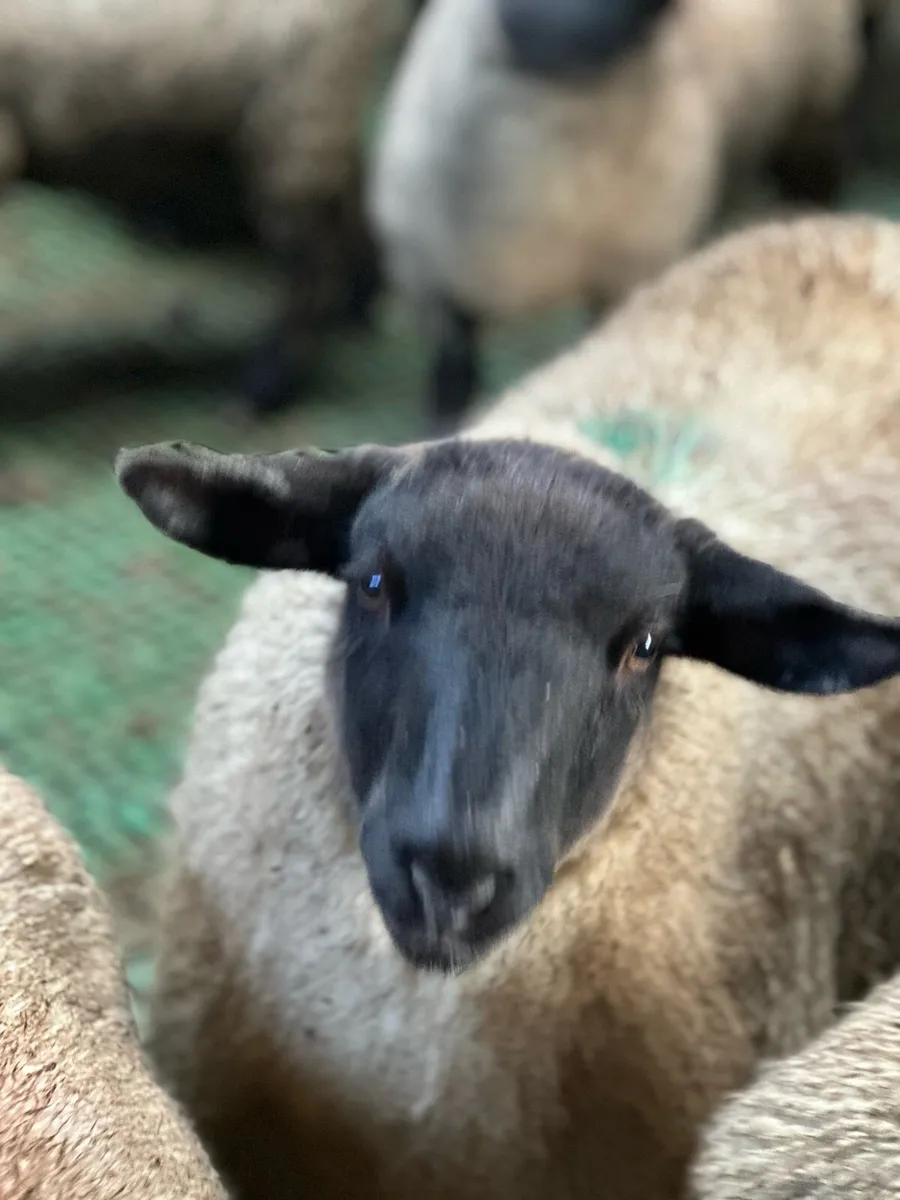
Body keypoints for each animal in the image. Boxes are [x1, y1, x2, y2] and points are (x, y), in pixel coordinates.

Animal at [0, 0, 409, 414]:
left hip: (294, 110)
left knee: (313, 267)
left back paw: (260, 391)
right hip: (314, 115)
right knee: (352, 200)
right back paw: (357, 310)